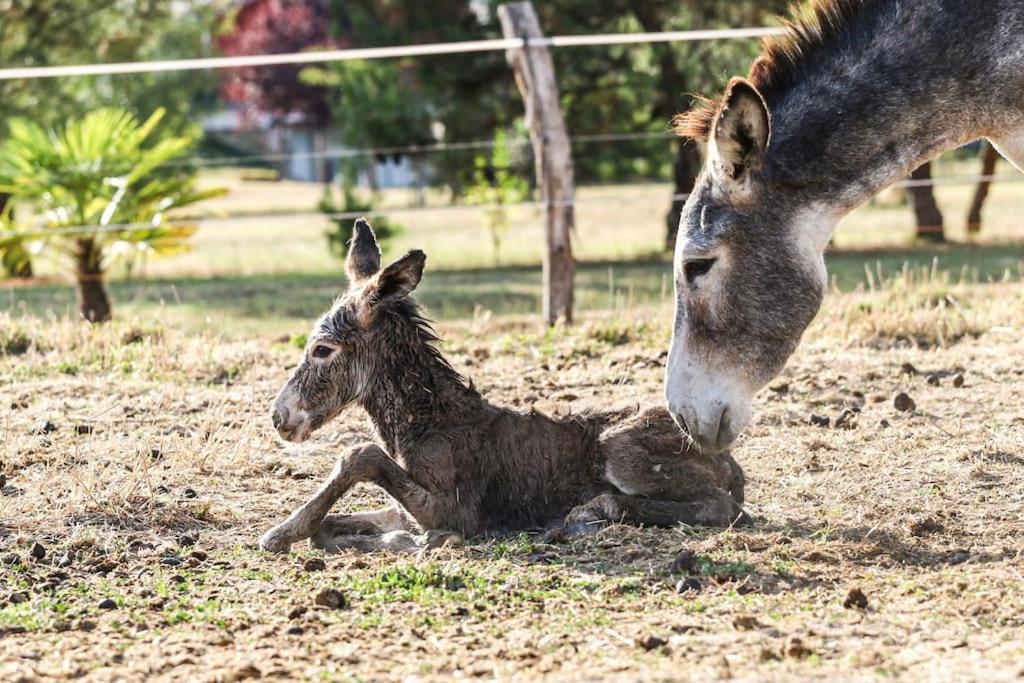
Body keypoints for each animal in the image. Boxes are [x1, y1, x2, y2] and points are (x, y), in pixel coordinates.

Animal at [260, 220, 749, 557]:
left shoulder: (456, 507)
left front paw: (279, 533)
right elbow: (333, 527)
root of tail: (729, 463)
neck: (422, 426)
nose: (280, 417)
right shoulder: (405, 507)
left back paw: (592, 510)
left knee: (722, 508)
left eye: (323, 349)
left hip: (621, 450)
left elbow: (359, 455)